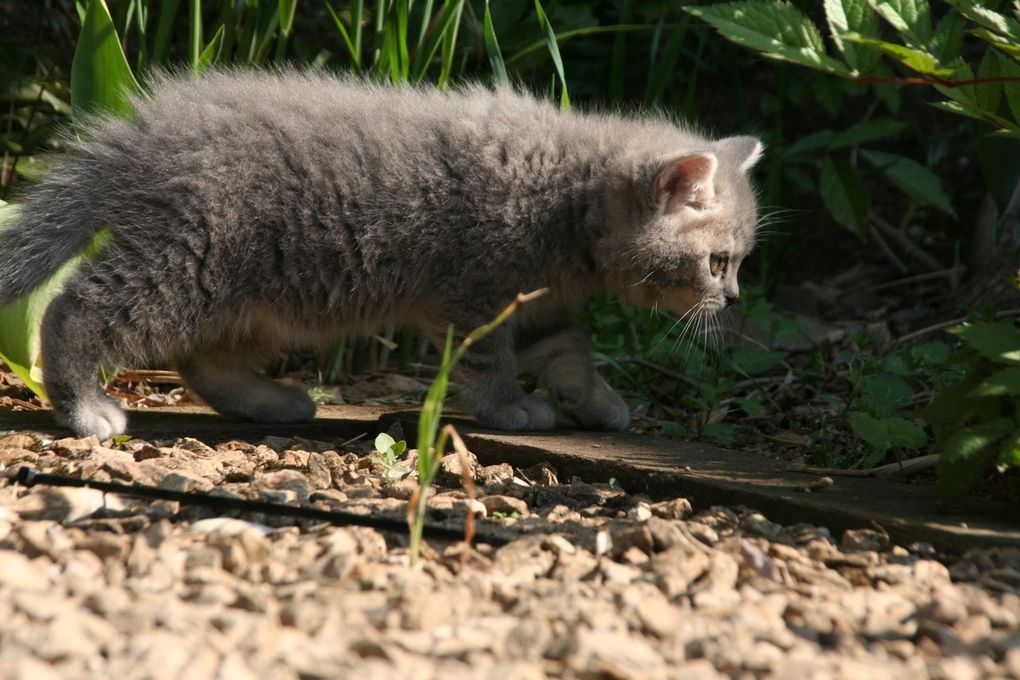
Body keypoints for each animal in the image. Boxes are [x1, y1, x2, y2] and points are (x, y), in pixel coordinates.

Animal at [0, 70, 758, 442]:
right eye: (719, 262)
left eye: (740, 262)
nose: (735, 299)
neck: (567, 197)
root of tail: (142, 134)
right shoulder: (476, 292)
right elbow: (486, 360)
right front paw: (510, 409)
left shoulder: (538, 305)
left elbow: (570, 353)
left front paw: (595, 402)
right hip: (192, 261)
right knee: (76, 310)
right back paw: (82, 408)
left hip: (255, 291)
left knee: (202, 357)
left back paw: (268, 401)